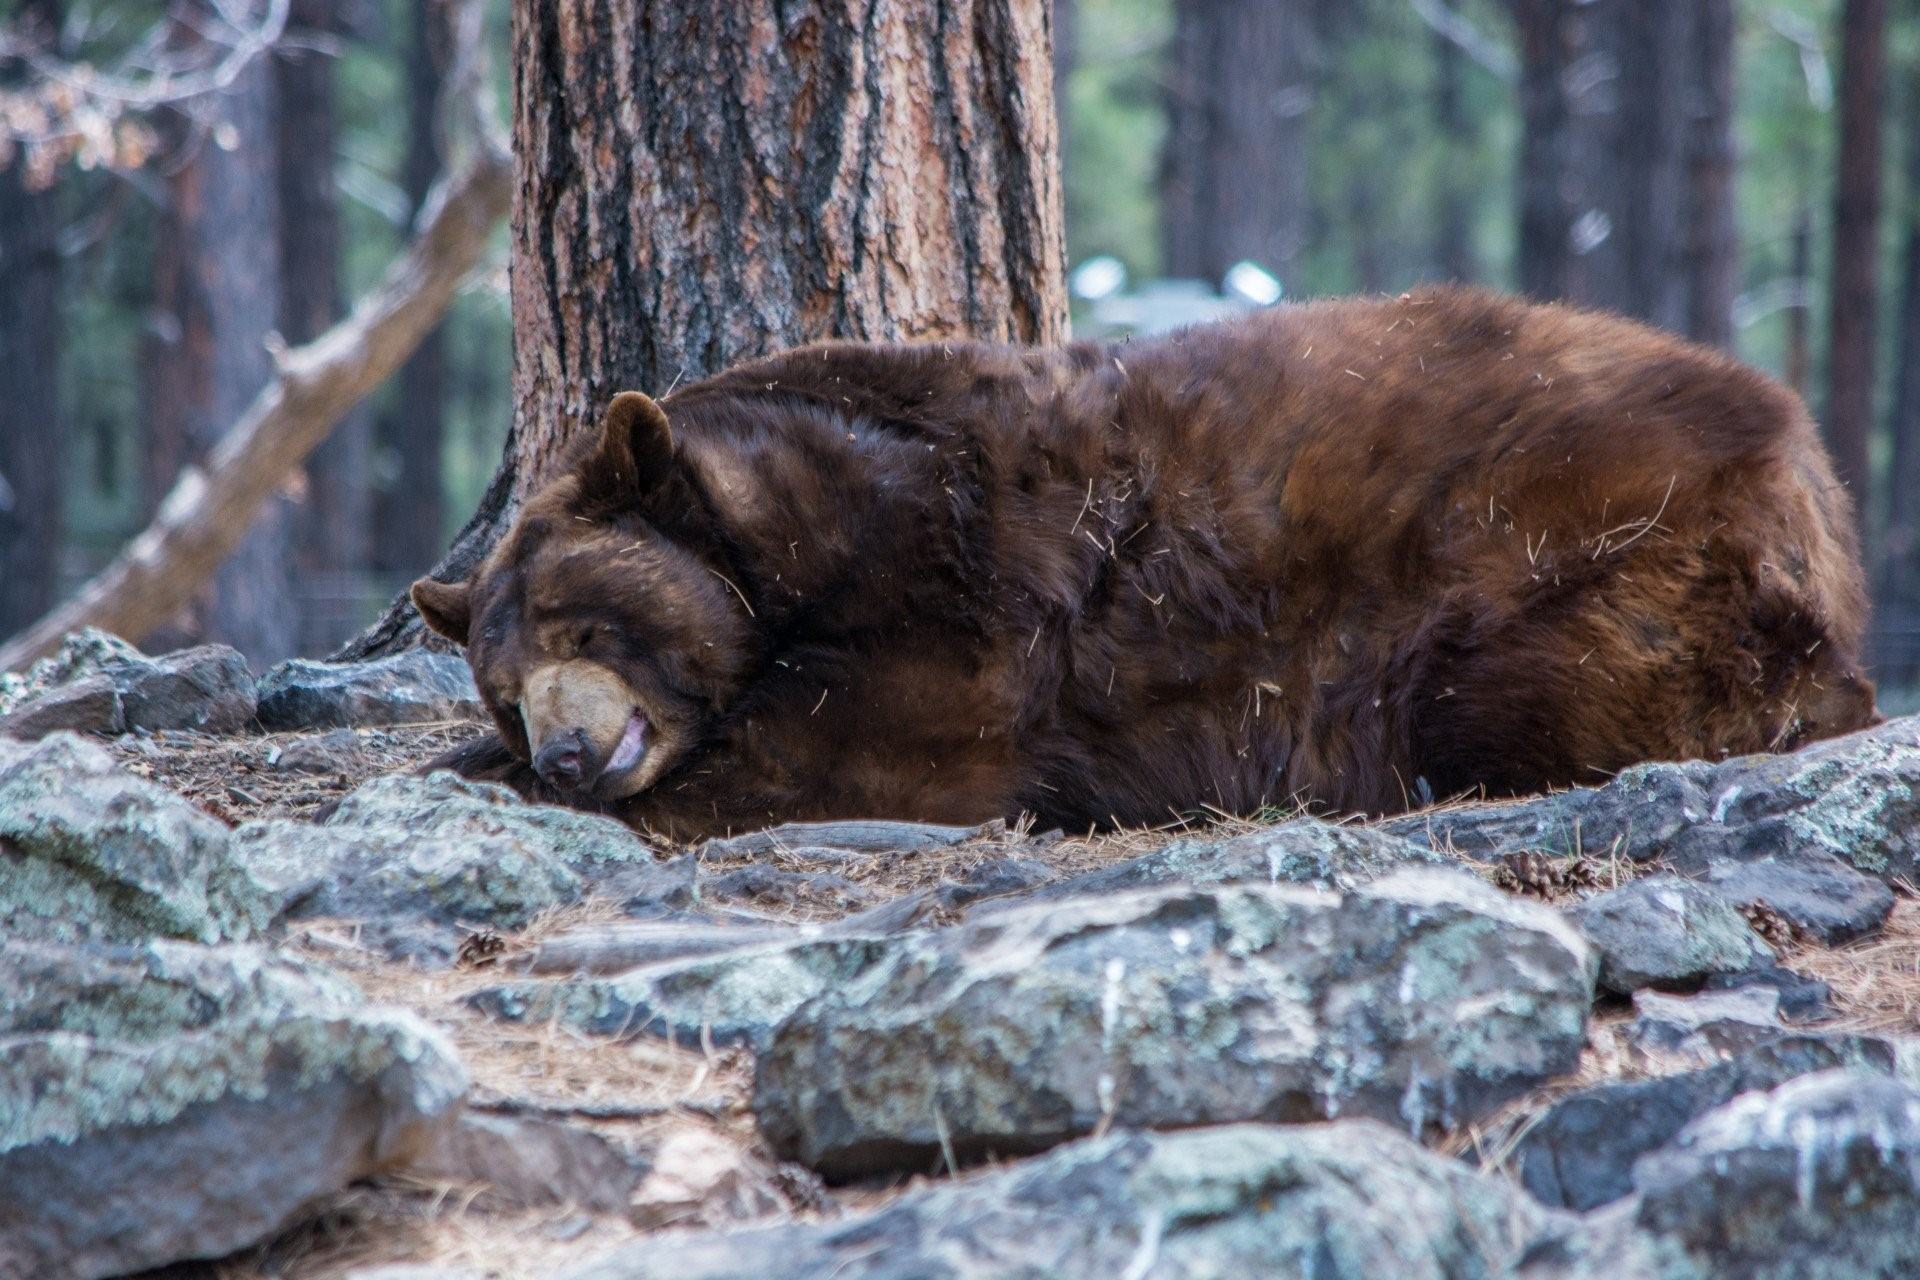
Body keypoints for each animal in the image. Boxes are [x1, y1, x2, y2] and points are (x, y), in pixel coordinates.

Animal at [416, 291, 1873, 852]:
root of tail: (1815, 472)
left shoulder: (966, 589)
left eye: (583, 621)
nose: (562, 752)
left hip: (1594, 565)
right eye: (504, 682)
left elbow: (849, 749)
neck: (806, 530)